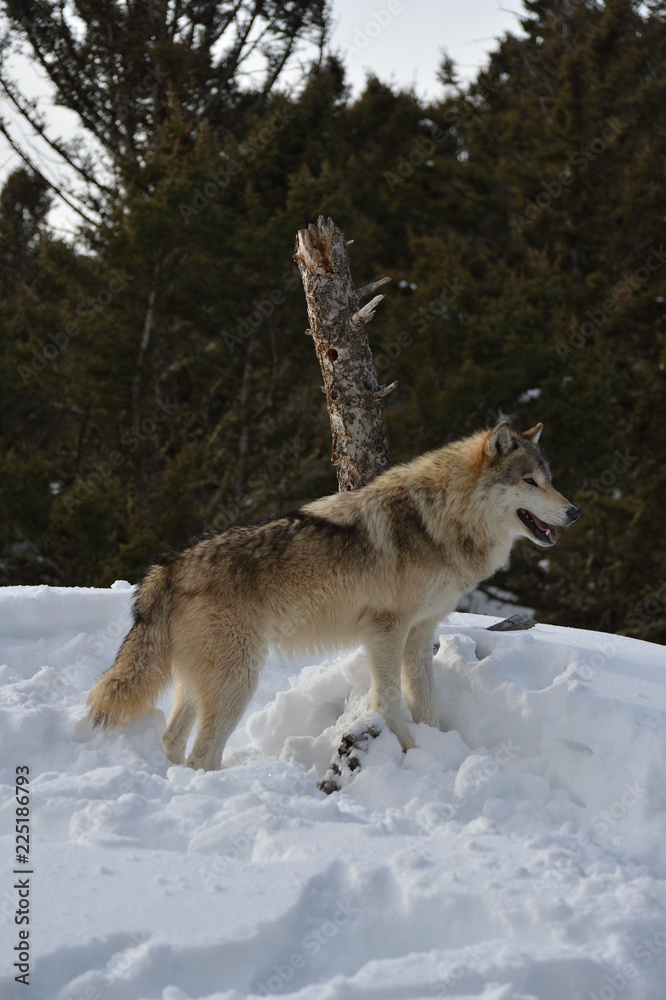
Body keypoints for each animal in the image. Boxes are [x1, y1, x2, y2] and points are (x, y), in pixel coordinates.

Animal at [88, 421, 580, 770]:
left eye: (550, 478)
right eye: (530, 481)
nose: (575, 511)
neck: (440, 520)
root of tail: (170, 562)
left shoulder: (420, 633)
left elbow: (428, 704)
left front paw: (435, 749)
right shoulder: (385, 630)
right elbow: (388, 700)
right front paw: (412, 750)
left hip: (206, 681)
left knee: (174, 743)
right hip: (239, 680)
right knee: (201, 755)